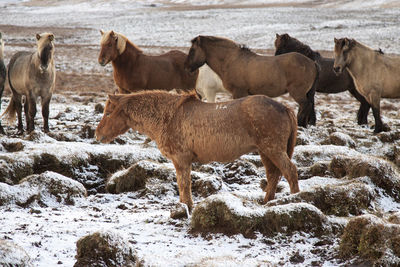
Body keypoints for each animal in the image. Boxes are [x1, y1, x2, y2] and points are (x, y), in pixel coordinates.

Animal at [95, 91, 298, 213]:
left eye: (108, 113)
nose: (97, 134)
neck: (169, 116)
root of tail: (284, 107)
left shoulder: (181, 160)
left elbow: (184, 184)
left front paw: (186, 207)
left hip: (273, 149)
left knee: (289, 171)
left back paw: (296, 199)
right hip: (266, 152)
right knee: (273, 175)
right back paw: (267, 203)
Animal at [184, 35, 318, 127]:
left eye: (192, 50)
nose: (186, 67)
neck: (231, 60)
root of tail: (312, 63)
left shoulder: (238, 92)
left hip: (298, 92)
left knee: (305, 105)